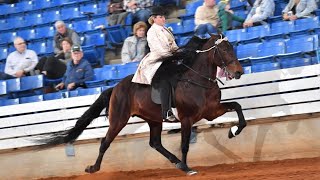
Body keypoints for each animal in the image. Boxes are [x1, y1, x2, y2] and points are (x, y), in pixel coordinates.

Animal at [38, 34, 248, 175]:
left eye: (232, 48)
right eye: (224, 49)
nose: (238, 72)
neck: (197, 81)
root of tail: (115, 87)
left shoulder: (211, 111)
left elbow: (238, 108)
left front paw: (233, 132)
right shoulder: (187, 119)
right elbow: (185, 144)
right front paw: (189, 168)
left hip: (153, 120)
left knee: (155, 143)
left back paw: (177, 163)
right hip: (118, 120)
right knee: (105, 142)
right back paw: (93, 168)